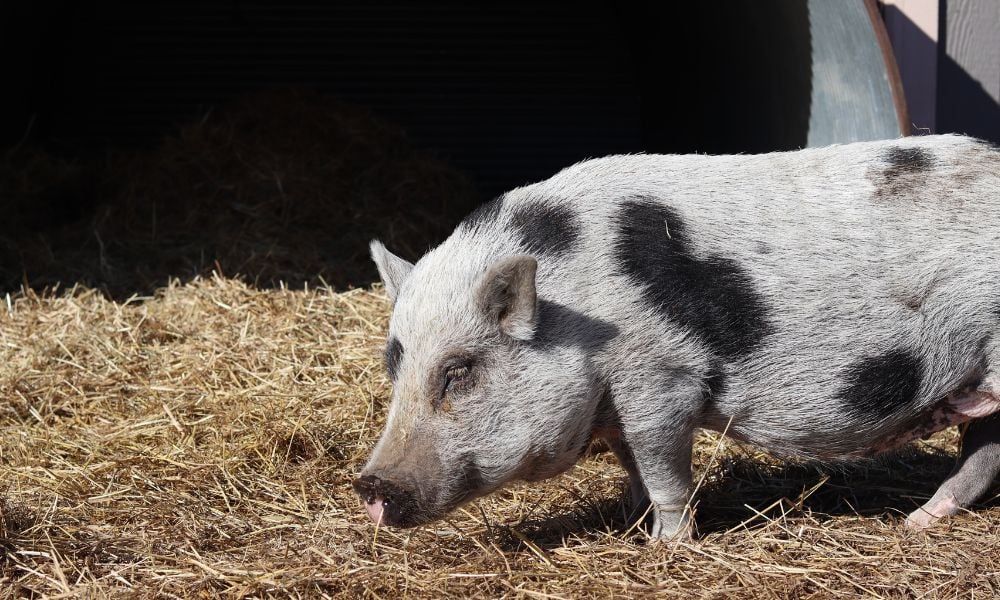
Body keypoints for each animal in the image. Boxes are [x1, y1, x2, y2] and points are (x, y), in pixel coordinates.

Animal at [353, 134, 1000, 538]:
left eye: (458, 372)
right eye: (394, 370)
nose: (369, 484)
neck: (581, 319)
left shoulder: (661, 378)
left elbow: (661, 465)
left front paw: (666, 543)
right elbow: (631, 463)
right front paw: (630, 521)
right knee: (985, 454)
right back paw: (917, 522)